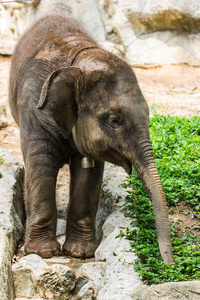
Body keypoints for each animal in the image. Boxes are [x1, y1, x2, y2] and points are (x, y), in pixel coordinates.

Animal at [9, 12, 174, 264]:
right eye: (115, 119)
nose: (169, 265)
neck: (78, 63)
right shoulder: (33, 110)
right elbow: (41, 164)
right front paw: (42, 253)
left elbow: (88, 172)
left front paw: (80, 253)